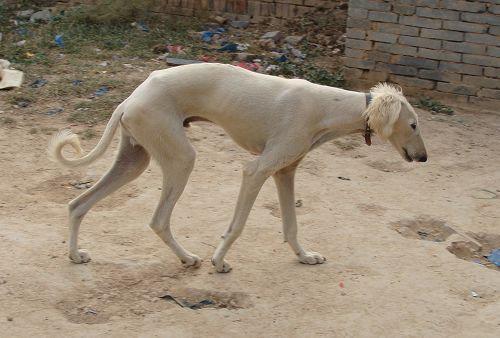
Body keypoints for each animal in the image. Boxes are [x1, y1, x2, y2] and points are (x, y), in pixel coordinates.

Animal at [49, 63, 426, 274]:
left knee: (77, 204)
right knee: (158, 220)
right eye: (414, 125)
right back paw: (189, 259)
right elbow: (237, 225)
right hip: (181, 158)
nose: (423, 159)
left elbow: (291, 226)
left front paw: (305, 257)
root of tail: (129, 99)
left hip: (134, 159)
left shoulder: (285, 172)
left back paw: (75, 255)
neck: (327, 108)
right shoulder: (257, 170)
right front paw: (218, 262)